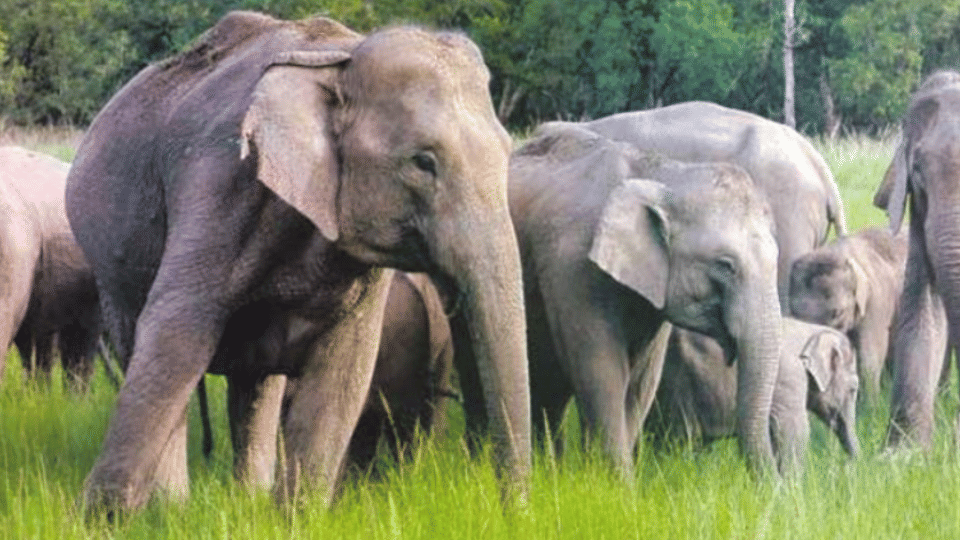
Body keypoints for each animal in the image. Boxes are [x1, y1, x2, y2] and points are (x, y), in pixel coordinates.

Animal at [65, 11, 530, 513]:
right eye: (422, 162)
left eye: (509, 154)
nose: (513, 511)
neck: (343, 58)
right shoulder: (222, 182)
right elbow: (175, 336)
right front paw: (103, 519)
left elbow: (343, 370)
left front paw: (294, 517)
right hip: (112, 268)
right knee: (145, 343)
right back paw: (173, 507)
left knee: (256, 385)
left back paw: (247, 500)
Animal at [457, 123, 783, 475]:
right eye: (725, 265)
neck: (665, 173)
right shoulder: (573, 268)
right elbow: (602, 372)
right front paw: (616, 484)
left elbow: (641, 382)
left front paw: (601, 480)